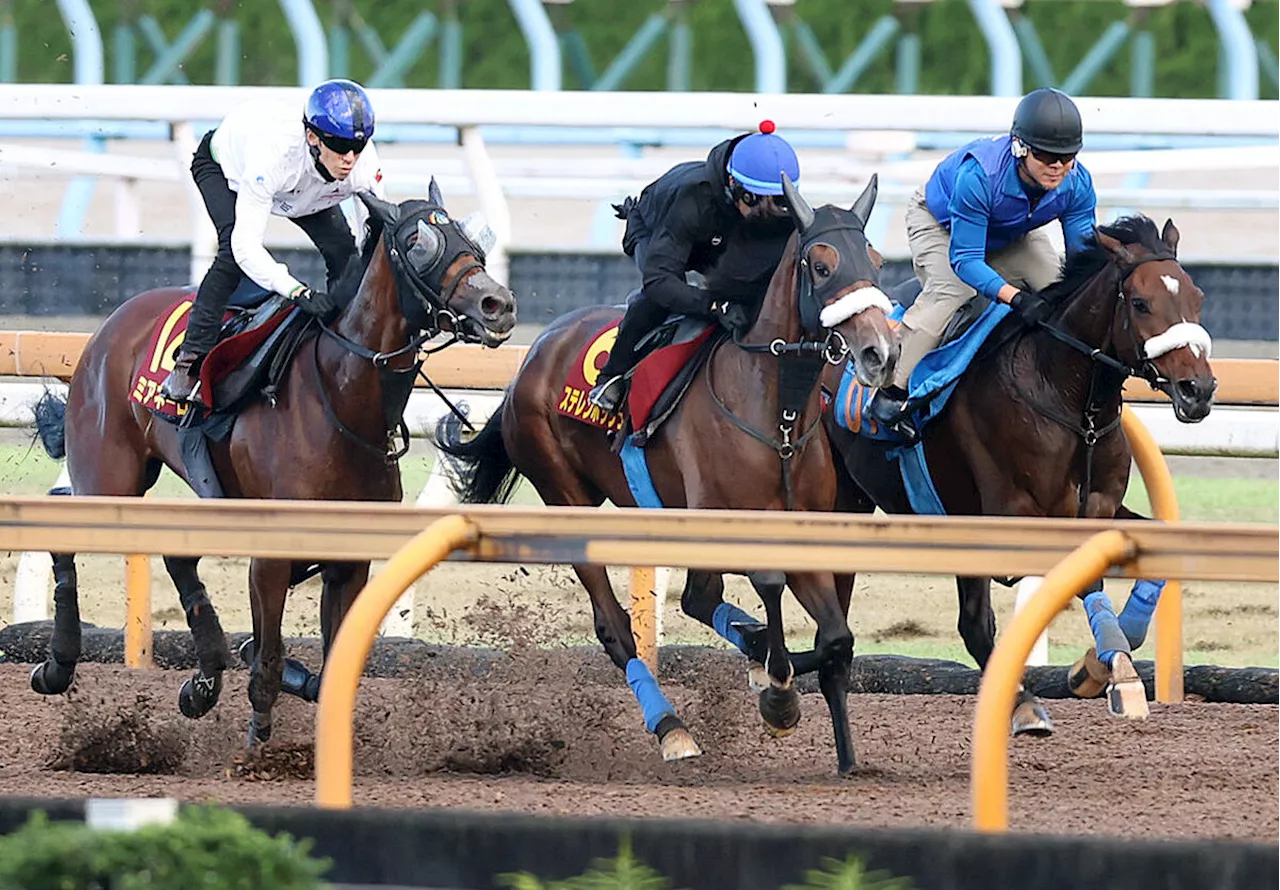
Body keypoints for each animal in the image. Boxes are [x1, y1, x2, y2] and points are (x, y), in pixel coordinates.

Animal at [27, 180, 514, 742]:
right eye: (418, 243)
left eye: (471, 240)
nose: (498, 304)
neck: (340, 399)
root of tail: (112, 324)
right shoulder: (272, 555)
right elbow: (269, 664)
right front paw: (258, 740)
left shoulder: (348, 562)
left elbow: (329, 668)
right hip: (111, 475)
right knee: (62, 518)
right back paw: (59, 665)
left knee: (172, 552)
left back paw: (204, 678)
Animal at [435, 172, 896, 773]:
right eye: (820, 265)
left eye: (876, 260)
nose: (880, 351)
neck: (777, 412)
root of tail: (530, 358)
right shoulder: (724, 521)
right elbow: (766, 587)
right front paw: (777, 689)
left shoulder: (806, 528)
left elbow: (836, 637)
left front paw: (775, 675)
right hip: (565, 495)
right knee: (617, 629)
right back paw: (672, 727)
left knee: (700, 600)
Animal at [824, 213, 1213, 732]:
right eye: (1141, 302)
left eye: (1196, 297)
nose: (1199, 389)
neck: (1068, 397)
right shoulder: (1019, 519)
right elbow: (1085, 580)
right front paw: (1118, 674)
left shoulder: (1100, 507)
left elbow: (1149, 562)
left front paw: (1095, 665)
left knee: (968, 623)